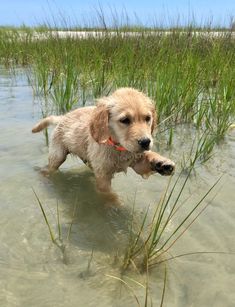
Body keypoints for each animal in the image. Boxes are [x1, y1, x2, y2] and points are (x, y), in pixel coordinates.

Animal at [32, 89, 174, 194]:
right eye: (125, 120)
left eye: (148, 118)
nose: (145, 142)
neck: (119, 147)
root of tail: (62, 117)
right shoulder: (103, 176)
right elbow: (109, 195)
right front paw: (115, 206)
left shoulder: (136, 161)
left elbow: (148, 157)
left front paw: (163, 163)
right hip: (57, 155)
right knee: (50, 167)